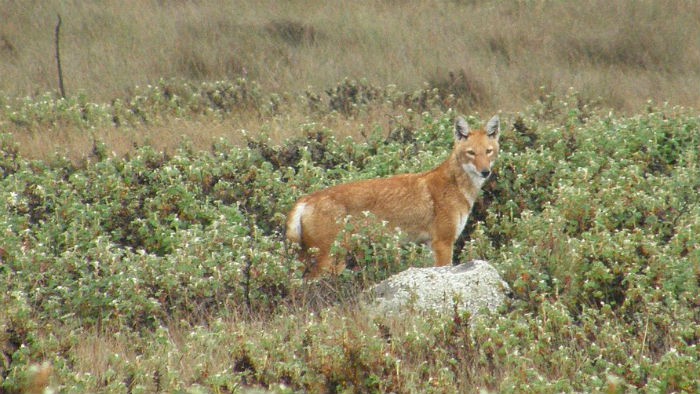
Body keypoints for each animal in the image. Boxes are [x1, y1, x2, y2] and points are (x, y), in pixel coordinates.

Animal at [284, 115, 498, 278]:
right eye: (471, 153)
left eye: (488, 151)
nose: (485, 172)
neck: (456, 185)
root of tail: (307, 199)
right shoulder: (443, 244)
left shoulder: (431, 245)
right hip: (331, 261)